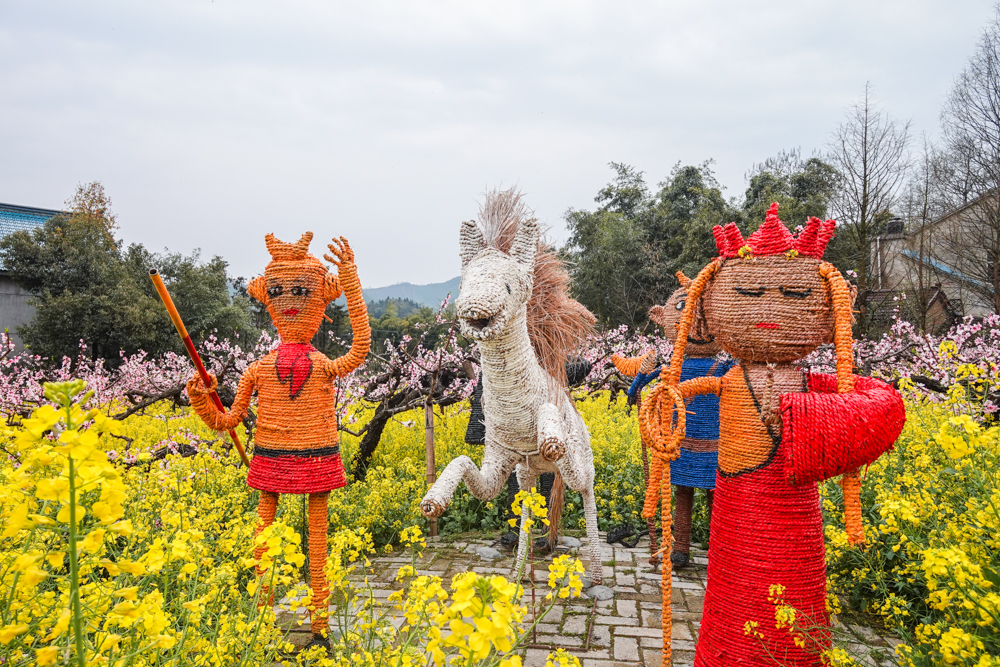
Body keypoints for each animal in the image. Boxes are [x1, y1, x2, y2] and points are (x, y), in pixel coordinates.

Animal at [416, 189, 600, 584]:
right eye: (464, 285)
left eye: (509, 286)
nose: (473, 308)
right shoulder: (499, 460)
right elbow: (463, 462)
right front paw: (434, 500)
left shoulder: (544, 418)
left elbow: (547, 420)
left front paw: (549, 437)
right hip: (526, 473)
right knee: (531, 507)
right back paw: (518, 574)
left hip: (580, 463)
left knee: (586, 491)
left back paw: (594, 573)